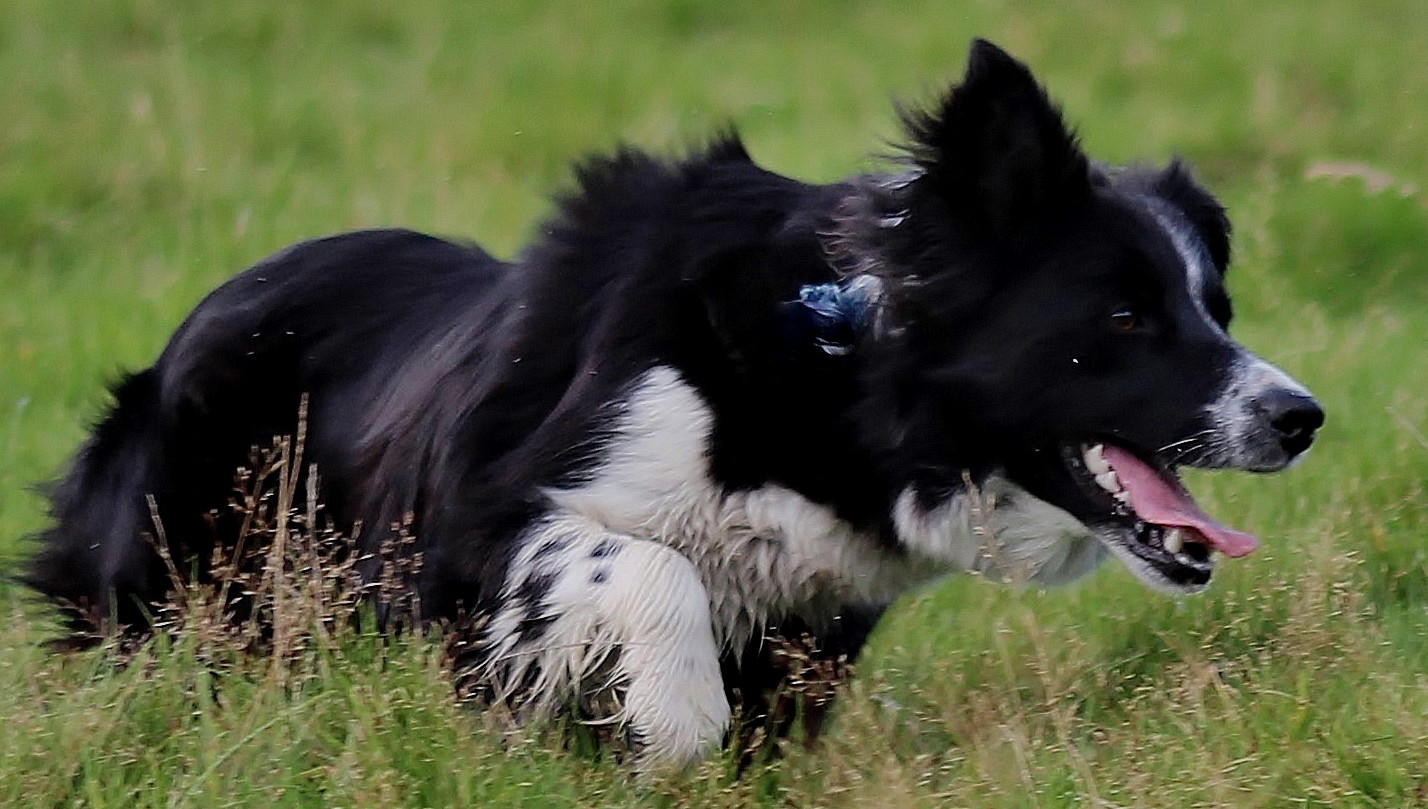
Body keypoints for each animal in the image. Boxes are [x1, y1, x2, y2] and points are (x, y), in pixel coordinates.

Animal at [25, 41, 1313, 770]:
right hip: (183, 568)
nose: (1301, 416)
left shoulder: (811, 616)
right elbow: (652, 570)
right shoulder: (475, 524)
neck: (837, 368)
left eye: (1217, 304)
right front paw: (671, 724)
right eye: (1124, 317)